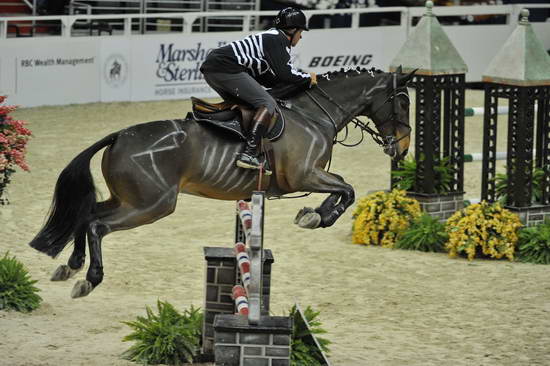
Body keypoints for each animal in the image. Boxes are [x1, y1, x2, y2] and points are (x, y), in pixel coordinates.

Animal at [27, 66, 414, 298]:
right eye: (401, 101)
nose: (402, 149)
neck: (313, 115)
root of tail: (118, 135)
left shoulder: (309, 177)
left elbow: (343, 188)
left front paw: (312, 214)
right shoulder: (304, 174)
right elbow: (346, 189)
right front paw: (317, 217)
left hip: (130, 199)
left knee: (88, 213)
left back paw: (70, 264)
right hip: (152, 205)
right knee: (97, 225)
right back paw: (89, 278)